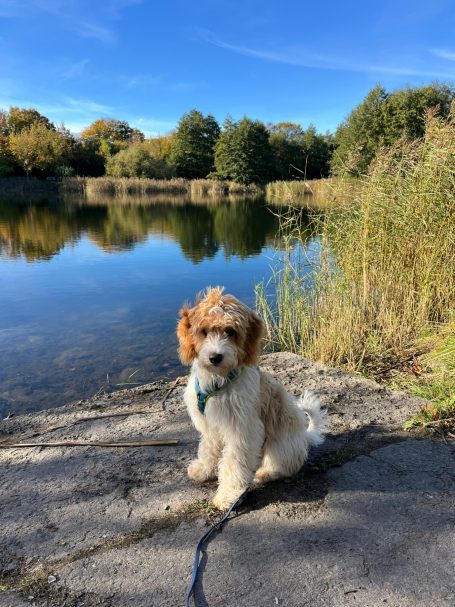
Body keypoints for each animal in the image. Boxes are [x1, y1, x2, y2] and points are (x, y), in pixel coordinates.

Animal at [177, 287, 327, 510]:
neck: (219, 383)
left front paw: (228, 495)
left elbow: (234, 463)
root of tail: (304, 437)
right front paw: (204, 470)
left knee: (288, 465)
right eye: (204, 331)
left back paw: (265, 473)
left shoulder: (242, 430)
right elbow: (208, 449)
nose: (215, 357)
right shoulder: (210, 425)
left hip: (280, 445)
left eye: (230, 331)